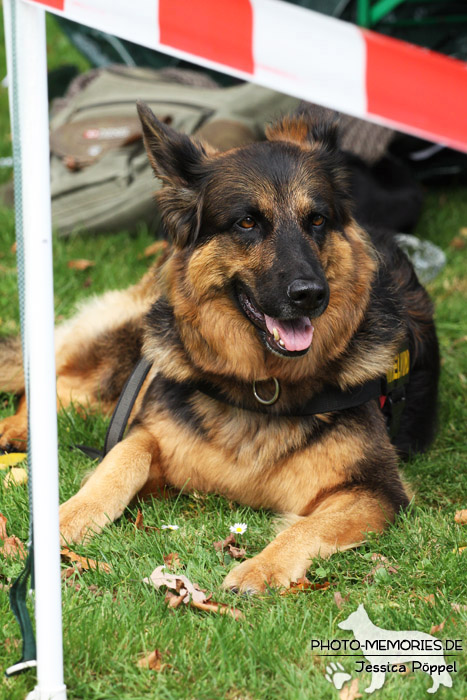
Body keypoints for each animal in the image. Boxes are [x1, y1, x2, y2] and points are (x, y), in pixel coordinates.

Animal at [0, 106, 438, 592]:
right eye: (247, 222)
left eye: (317, 221)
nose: (311, 295)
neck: (262, 385)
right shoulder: (152, 436)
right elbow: (120, 458)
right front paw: (65, 517)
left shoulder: (376, 491)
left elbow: (309, 526)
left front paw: (261, 568)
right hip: (130, 349)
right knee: (53, 378)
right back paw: (15, 430)